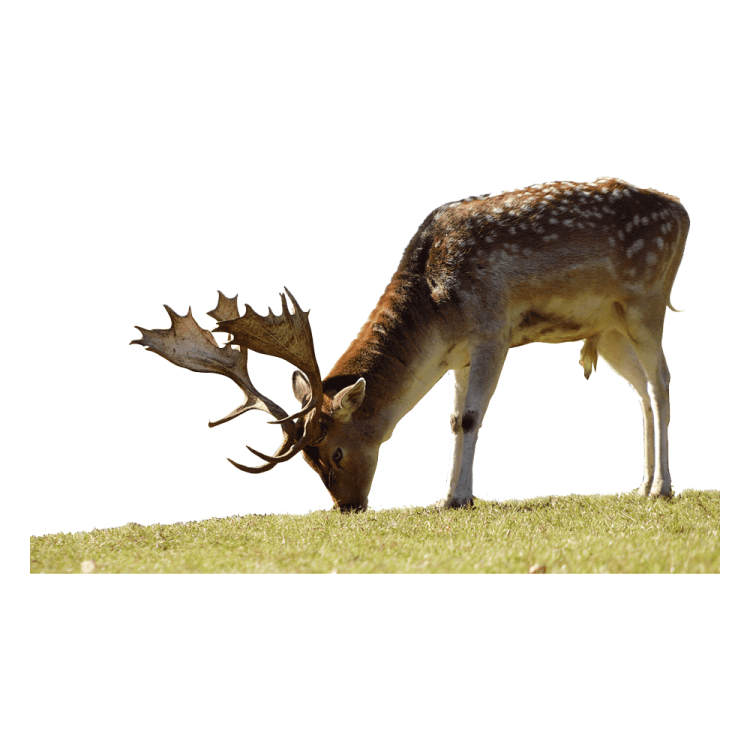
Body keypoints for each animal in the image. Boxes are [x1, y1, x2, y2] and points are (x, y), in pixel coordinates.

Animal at [130, 177, 689, 512]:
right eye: (310, 463)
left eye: (334, 452)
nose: (349, 508)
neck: (438, 307)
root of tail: (681, 210)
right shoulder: (460, 352)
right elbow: (454, 417)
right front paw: (451, 496)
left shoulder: (493, 329)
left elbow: (469, 417)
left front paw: (456, 499)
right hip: (609, 330)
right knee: (641, 390)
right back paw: (641, 485)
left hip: (645, 302)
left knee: (661, 380)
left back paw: (662, 488)